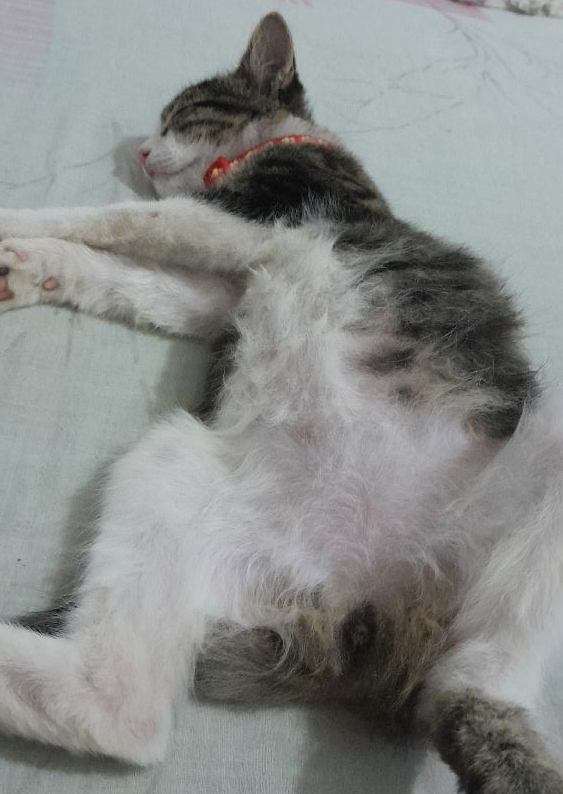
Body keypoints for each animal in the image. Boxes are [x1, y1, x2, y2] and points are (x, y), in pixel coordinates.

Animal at [1, 12, 563, 794]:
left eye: (178, 114)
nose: (141, 150)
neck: (288, 143)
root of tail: (365, 608)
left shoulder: (250, 222)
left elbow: (121, 217)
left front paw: (15, 221)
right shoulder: (218, 290)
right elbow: (133, 279)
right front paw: (37, 268)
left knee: (470, 693)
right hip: (176, 468)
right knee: (124, 713)